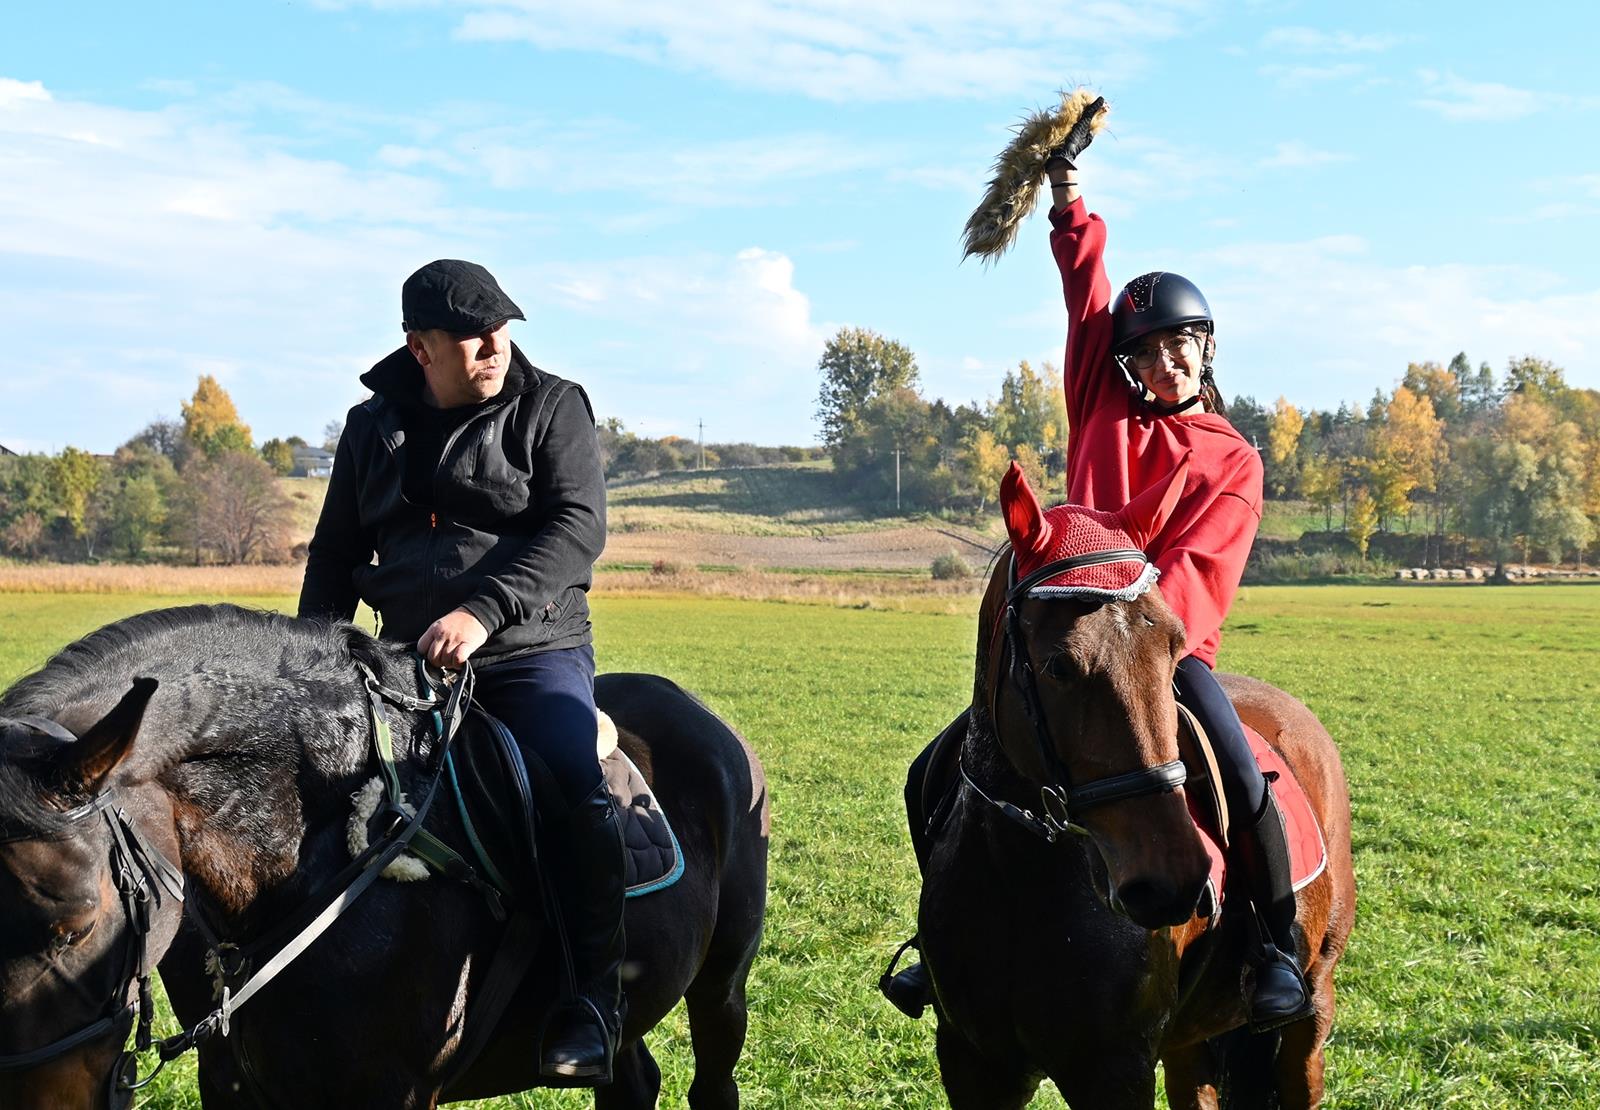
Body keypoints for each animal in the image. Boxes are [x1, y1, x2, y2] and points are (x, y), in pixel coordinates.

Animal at [909, 464, 1355, 1109]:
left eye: (1173, 644)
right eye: (1058, 665)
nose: (1172, 881)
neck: (1017, 876)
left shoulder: (1114, 1071)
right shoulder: (972, 1062)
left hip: (1312, 1008)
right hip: (1188, 1040)